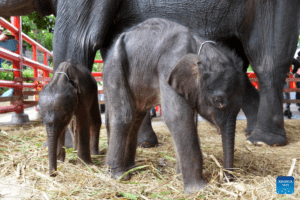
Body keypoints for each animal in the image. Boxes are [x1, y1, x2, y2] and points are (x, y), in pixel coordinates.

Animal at [1, 0, 298, 146]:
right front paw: (144, 144)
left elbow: (77, 40)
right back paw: (251, 134)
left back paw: (264, 141)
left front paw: (65, 149)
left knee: (268, 60)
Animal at [104, 18, 245, 194]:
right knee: (125, 116)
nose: (225, 180)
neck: (199, 48)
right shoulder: (168, 67)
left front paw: (179, 177)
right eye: (218, 101)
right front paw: (197, 190)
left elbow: (189, 120)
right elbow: (178, 117)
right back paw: (120, 176)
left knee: (136, 117)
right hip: (115, 67)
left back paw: (132, 169)